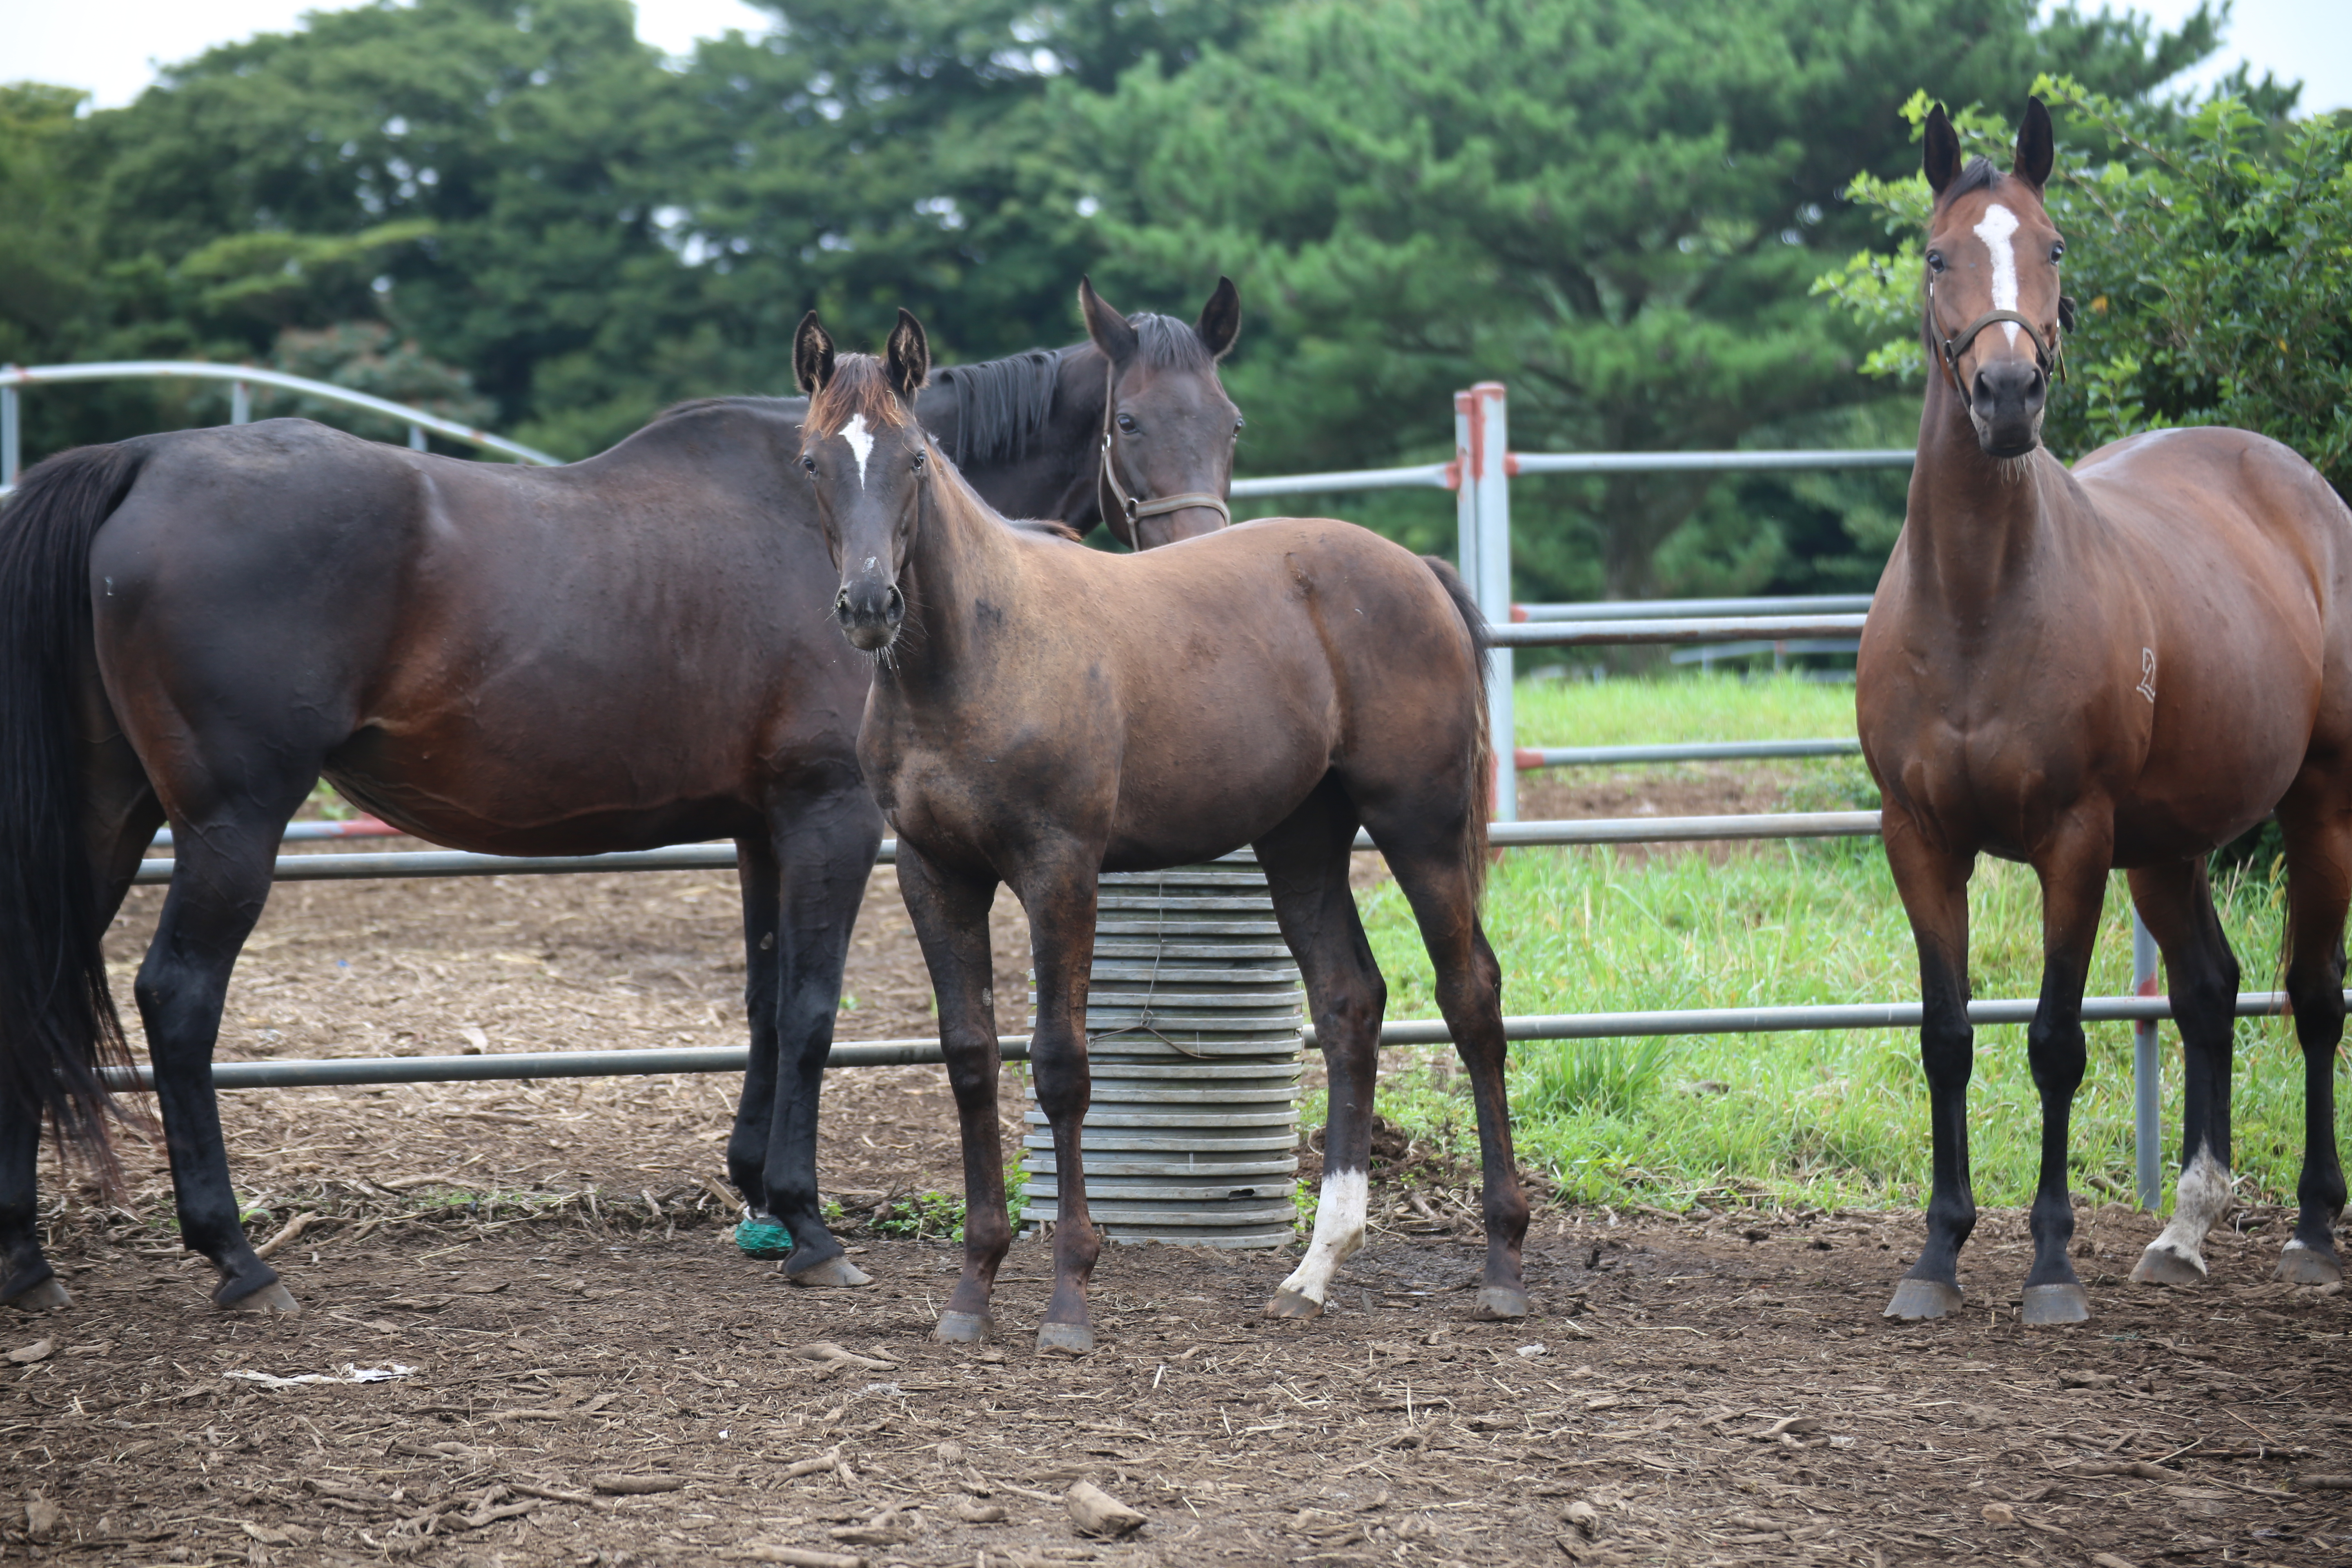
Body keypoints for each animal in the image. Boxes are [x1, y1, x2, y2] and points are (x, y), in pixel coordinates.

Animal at [0, 278, 1251, 1316]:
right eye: (1129, 424)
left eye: (1228, 422)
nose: (1201, 569)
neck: (837, 537)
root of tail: (140, 460)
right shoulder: (832, 819)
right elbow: (811, 1008)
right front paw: (808, 1225)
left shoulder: (759, 829)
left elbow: (763, 1003)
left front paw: (760, 1198)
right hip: (231, 823)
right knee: (176, 999)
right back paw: (236, 1258)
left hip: (109, 816)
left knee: (40, 982)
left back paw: (27, 1258)